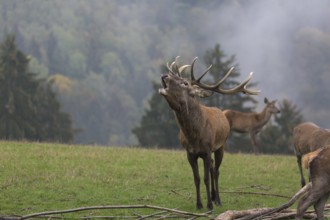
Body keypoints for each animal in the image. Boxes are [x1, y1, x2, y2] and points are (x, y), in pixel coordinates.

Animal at [159, 56, 260, 210]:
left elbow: (206, 178)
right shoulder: (190, 153)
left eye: (185, 83)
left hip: (220, 146)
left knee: (216, 171)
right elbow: (197, 178)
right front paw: (199, 204)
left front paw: (209, 205)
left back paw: (217, 200)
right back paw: (212, 196)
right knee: (212, 168)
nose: (165, 76)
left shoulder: (207, 150)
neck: (194, 136)